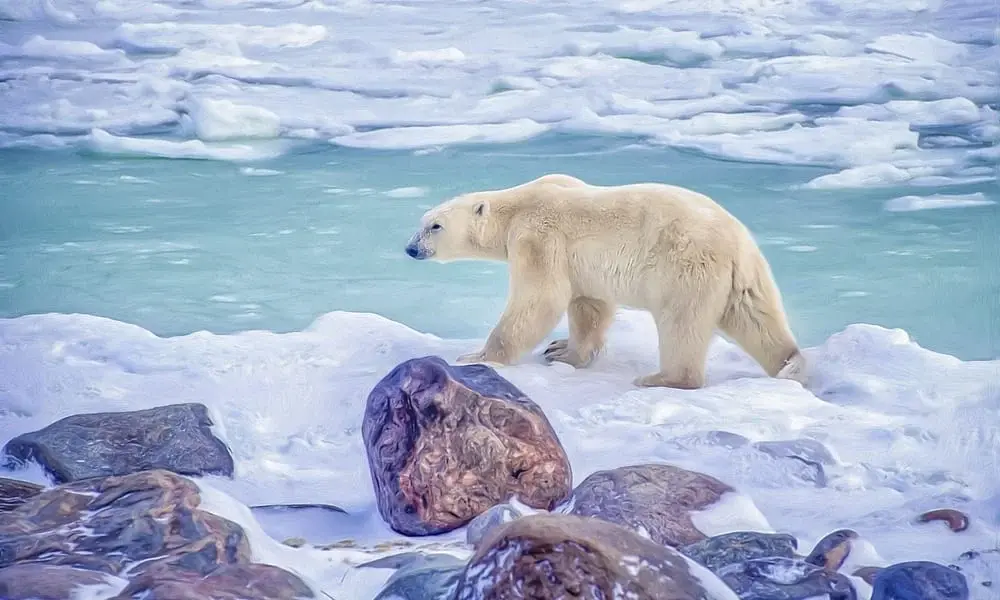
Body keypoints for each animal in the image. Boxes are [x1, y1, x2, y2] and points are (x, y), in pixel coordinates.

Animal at [402, 173, 808, 390]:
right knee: (756, 317)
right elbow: (589, 305)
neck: (518, 205)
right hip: (742, 277)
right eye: (421, 223)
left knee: (681, 322)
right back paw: (789, 363)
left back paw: (662, 378)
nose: (410, 248)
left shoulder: (538, 237)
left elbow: (540, 298)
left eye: (434, 226)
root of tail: (738, 241)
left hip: (686, 266)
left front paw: (480, 356)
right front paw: (562, 350)